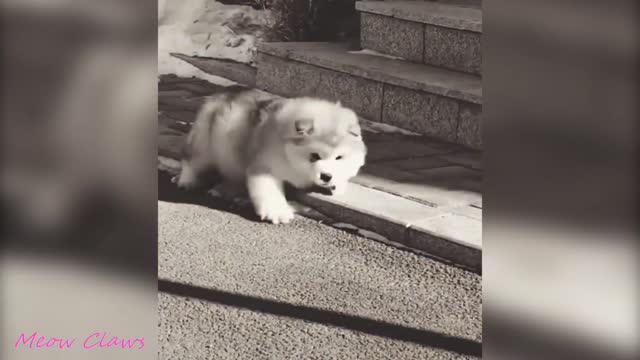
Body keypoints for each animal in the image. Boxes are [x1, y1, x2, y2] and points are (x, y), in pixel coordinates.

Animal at [172, 86, 368, 224]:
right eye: (315, 156)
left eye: (339, 158)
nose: (327, 176)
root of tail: (222, 94)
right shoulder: (265, 166)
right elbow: (269, 190)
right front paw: (278, 213)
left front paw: (337, 184)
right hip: (204, 141)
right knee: (192, 161)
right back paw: (187, 181)